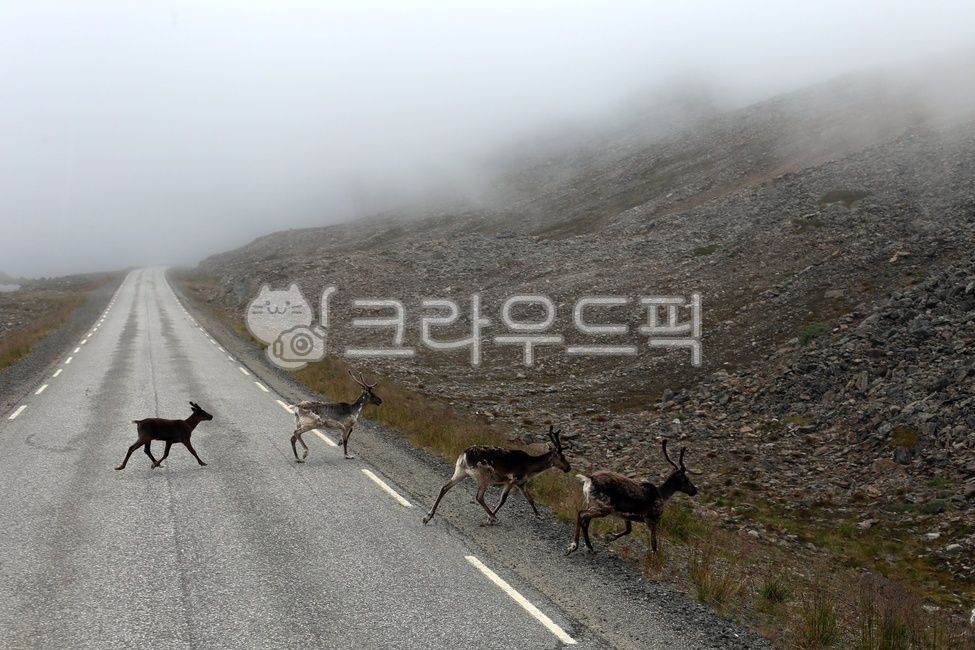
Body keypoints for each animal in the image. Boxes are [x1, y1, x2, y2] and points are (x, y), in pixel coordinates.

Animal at [423, 425, 571, 525]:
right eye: (561, 457)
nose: (569, 468)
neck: (530, 469)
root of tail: (464, 454)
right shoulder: (511, 480)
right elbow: (503, 500)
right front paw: (490, 517)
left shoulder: (522, 483)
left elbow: (530, 499)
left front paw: (539, 515)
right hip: (484, 476)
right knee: (479, 496)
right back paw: (494, 518)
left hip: (460, 471)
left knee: (445, 487)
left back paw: (428, 516)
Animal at [566, 439, 697, 555]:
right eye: (686, 479)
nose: (695, 490)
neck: (662, 494)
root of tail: (590, 478)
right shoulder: (651, 519)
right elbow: (654, 543)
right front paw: (654, 557)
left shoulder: (626, 516)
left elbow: (628, 530)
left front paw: (610, 537)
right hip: (604, 507)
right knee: (581, 514)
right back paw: (573, 546)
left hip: (593, 503)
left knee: (585, 521)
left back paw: (589, 547)